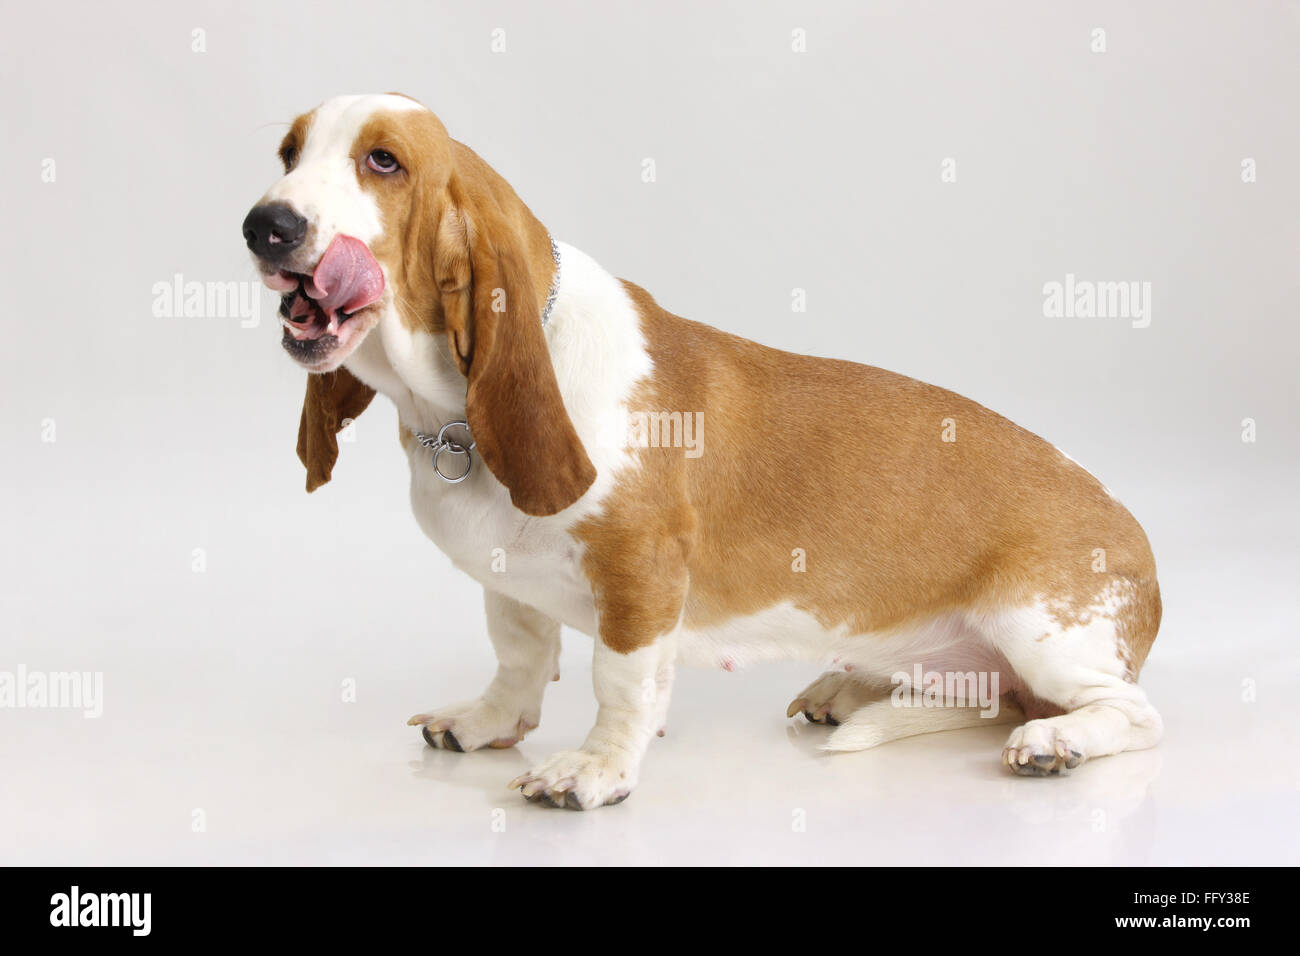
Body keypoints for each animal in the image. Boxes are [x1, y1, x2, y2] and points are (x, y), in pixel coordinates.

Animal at [239, 93, 1164, 811]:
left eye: (383, 162)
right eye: (288, 151)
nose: (263, 225)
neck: (450, 415)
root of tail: (1143, 553)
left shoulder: (638, 572)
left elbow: (618, 683)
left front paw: (597, 769)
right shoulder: (509, 581)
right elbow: (520, 656)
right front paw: (488, 723)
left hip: (1040, 637)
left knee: (1131, 714)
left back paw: (1054, 742)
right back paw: (846, 690)